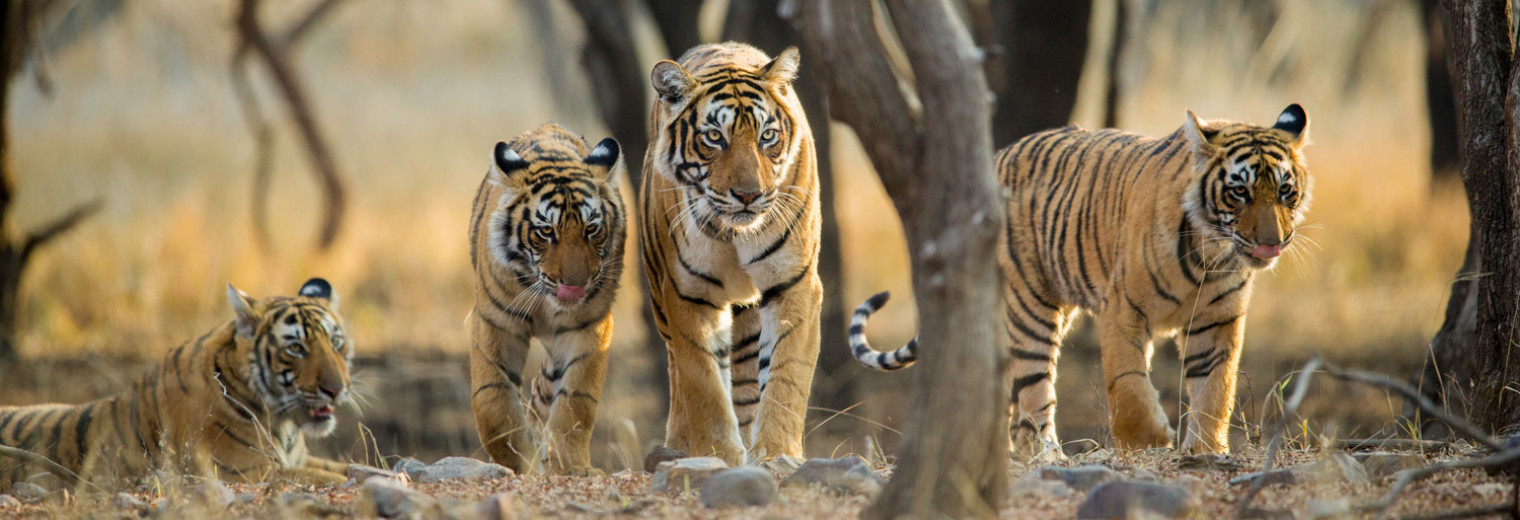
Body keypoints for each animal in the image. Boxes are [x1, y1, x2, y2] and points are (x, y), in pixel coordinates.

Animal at [0, 279, 352, 486]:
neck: (285, 425)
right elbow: (334, 477)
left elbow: (349, 468)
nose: (336, 389)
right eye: (296, 348)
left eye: (336, 343)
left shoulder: (296, 459)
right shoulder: (248, 471)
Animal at [465, 121, 626, 474]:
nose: (576, 285)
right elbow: (493, 402)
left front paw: (568, 466)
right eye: (546, 231)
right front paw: (518, 460)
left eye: (591, 229)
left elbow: (576, 401)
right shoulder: (495, 322)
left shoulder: (588, 325)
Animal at [638, 42, 820, 465]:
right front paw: (716, 454)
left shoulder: (794, 284)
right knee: (678, 375)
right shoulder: (688, 294)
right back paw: (677, 445)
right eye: (714, 138)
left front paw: (776, 454)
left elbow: (786, 375)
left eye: (767, 136)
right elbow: (703, 385)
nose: (749, 195)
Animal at [851, 103, 1313, 456]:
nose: (1273, 242)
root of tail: (996, 158)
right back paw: (1046, 457)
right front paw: (1148, 442)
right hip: (1030, 308)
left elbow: (1215, 389)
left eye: (1285, 191)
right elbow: (1128, 385)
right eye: (1240, 192)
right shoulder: (1122, 309)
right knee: (1034, 394)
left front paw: (1206, 450)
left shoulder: (1216, 321)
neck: (1210, 254)